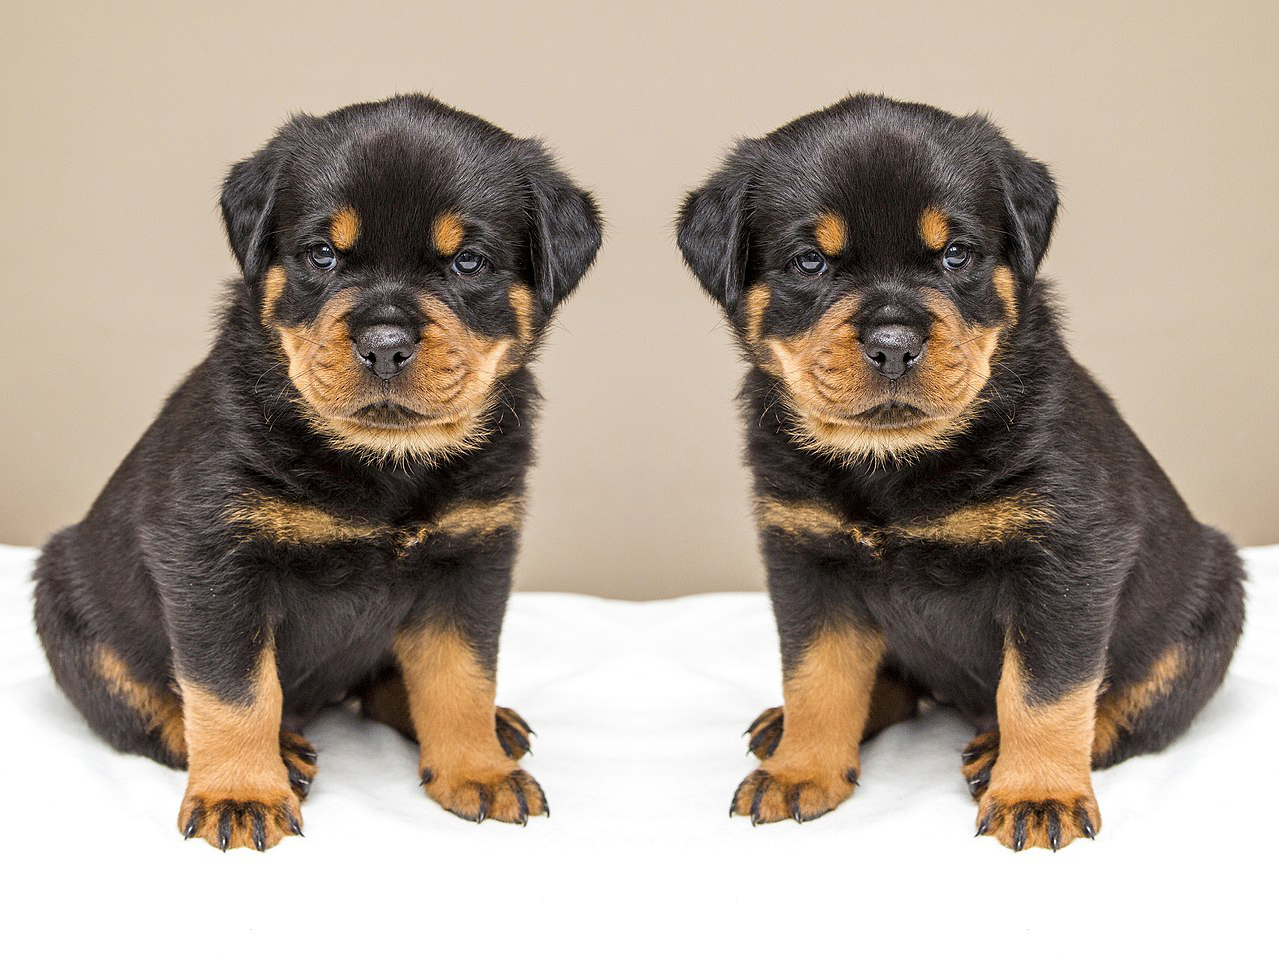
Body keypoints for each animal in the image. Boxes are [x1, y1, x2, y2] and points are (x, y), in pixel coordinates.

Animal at [33, 94, 604, 855]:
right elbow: (233, 691)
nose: (385, 344)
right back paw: (280, 749)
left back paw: (491, 730)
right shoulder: (212, 560)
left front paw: (477, 768)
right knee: (148, 708)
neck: (383, 461)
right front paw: (242, 791)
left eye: (469, 263)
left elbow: (460, 676)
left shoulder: (472, 556)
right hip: (67, 605)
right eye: (322, 255)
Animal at [675, 96, 1244, 849]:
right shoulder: (805, 555)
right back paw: (786, 729)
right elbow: (818, 676)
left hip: (1211, 607)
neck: (894, 462)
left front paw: (1037, 791)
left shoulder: (1068, 559)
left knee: (1132, 708)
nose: (893, 344)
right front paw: (802, 769)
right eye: (809, 263)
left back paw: (998, 750)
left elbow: (1047, 690)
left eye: (956, 254)